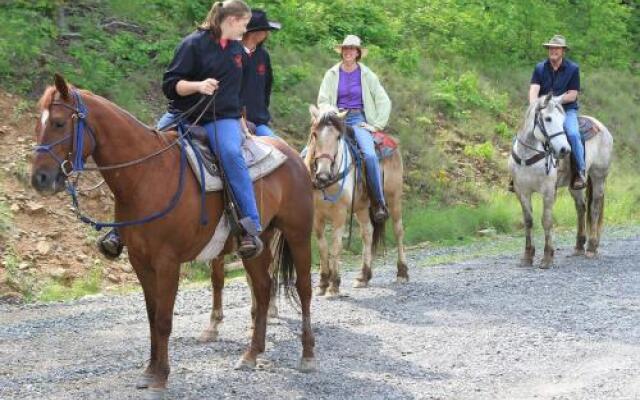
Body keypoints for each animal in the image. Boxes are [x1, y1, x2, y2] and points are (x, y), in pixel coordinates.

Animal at [31, 74, 316, 396]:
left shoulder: (167, 262)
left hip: (298, 234)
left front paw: (161, 378)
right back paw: (252, 354)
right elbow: (152, 316)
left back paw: (307, 355)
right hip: (258, 243)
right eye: (38, 123)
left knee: (304, 288)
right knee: (264, 287)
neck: (146, 175)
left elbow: (165, 319)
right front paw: (149, 371)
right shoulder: (140, 261)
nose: (39, 179)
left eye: (58, 123)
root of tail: (291, 152)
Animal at [304, 104, 408, 296]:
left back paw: (402, 273)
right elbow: (323, 246)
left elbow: (336, 246)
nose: (322, 174)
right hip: (362, 207)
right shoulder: (317, 216)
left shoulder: (339, 214)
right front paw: (322, 283)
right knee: (368, 233)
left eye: (338, 137)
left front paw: (334, 285)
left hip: (394, 198)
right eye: (314, 134)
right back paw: (363, 276)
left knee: (398, 231)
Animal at [508, 94, 612, 268]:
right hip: (575, 186)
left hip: (599, 176)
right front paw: (527, 256)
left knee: (595, 208)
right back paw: (579, 246)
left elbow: (546, 221)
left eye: (562, 120)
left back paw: (591, 247)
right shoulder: (522, 191)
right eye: (548, 118)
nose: (564, 150)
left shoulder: (549, 191)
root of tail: (601, 126)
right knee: (581, 208)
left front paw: (547, 257)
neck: (528, 156)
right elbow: (528, 221)